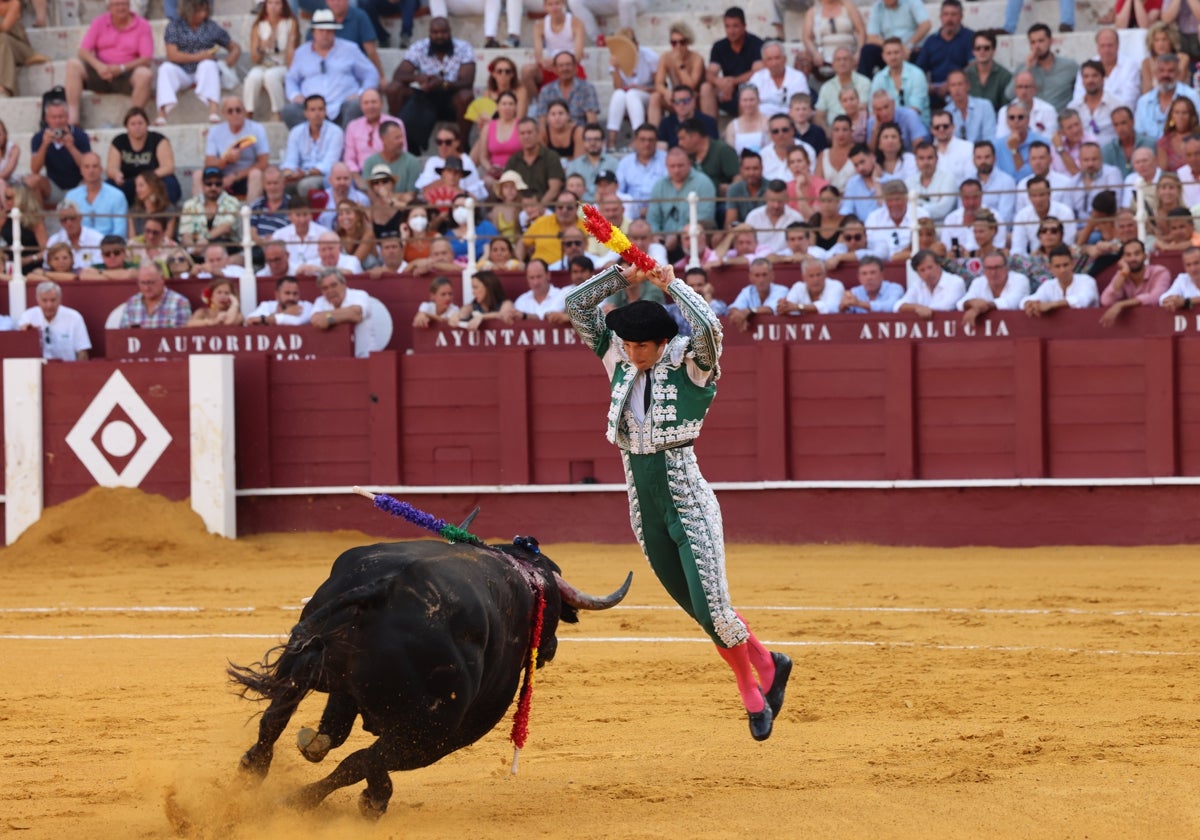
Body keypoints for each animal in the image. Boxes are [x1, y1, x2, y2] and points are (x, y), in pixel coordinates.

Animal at [228, 542, 633, 816]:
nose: (551, 648)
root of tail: (383, 588)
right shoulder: (454, 731)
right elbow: (361, 759)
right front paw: (366, 799)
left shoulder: (347, 693)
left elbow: (336, 738)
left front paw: (313, 751)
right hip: (433, 727)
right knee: (367, 757)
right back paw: (352, 800)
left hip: (302, 663)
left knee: (273, 720)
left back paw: (250, 776)